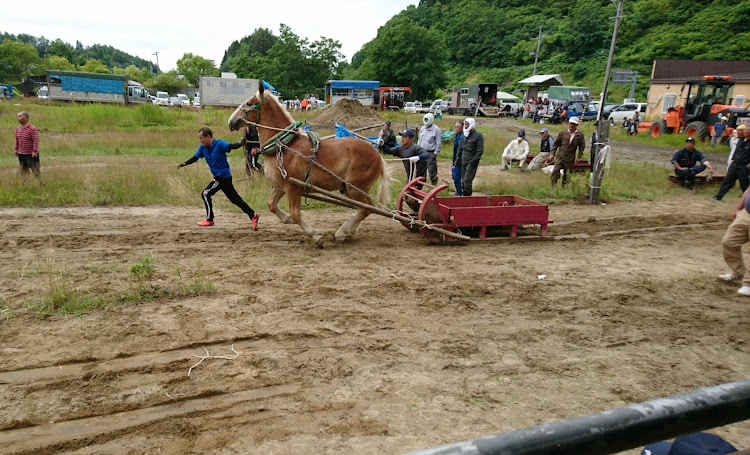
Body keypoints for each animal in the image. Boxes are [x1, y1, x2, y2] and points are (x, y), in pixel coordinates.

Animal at [228, 84, 394, 249]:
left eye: (249, 103)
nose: (231, 121)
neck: (285, 145)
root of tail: (378, 155)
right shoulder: (280, 186)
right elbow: (272, 206)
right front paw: (289, 220)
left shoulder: (293, 187)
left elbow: (296, 214)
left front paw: (316, 236)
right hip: (348, 189)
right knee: (362, 208)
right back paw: (349, 232)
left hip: (355, 187)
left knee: (366, 208)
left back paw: (343, 231)